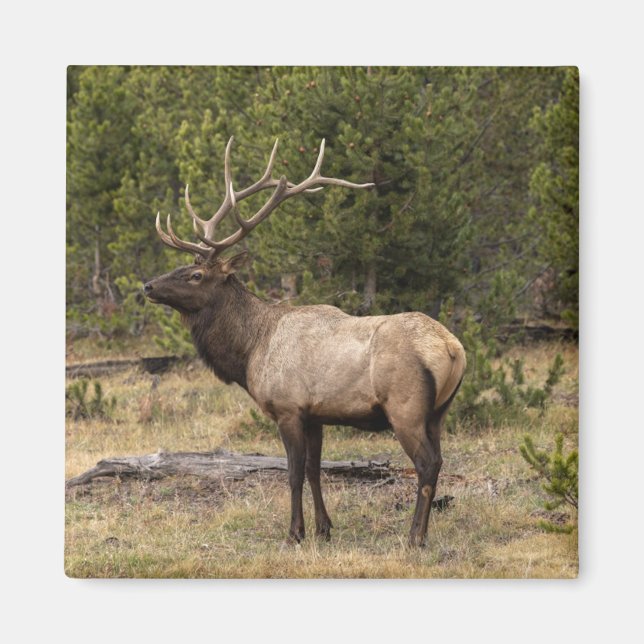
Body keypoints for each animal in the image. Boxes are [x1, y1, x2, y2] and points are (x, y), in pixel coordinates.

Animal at [143, 137, 466, 547]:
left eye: (196, 275)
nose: (148, 285)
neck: (250, 352)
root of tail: (452, 348)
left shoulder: (288, 408)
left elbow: (293, 472)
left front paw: (294, 533)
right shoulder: (316, 415)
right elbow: (315, 470)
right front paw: (324, 528)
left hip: (405, 406)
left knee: (426, 464)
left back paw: (414, 537)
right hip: (439, 411)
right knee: (438, 460)